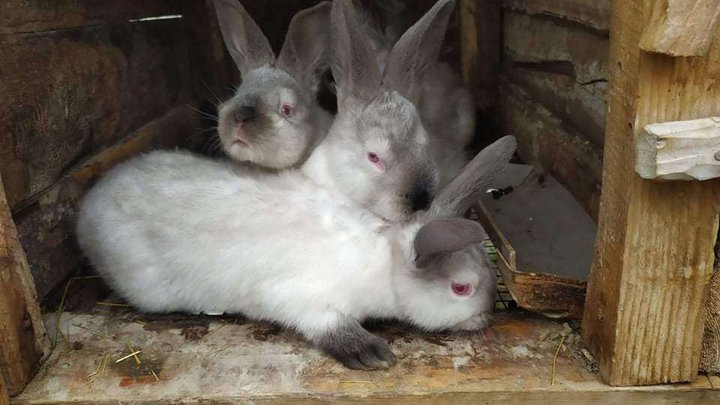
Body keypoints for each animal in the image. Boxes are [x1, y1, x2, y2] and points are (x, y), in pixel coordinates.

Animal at [76, 133, 516, 370]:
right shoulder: (302, 299)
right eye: (461, 288)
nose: (485, 318)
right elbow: (326, 324)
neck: (383, 262)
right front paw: (371, 353)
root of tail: (86, 210)